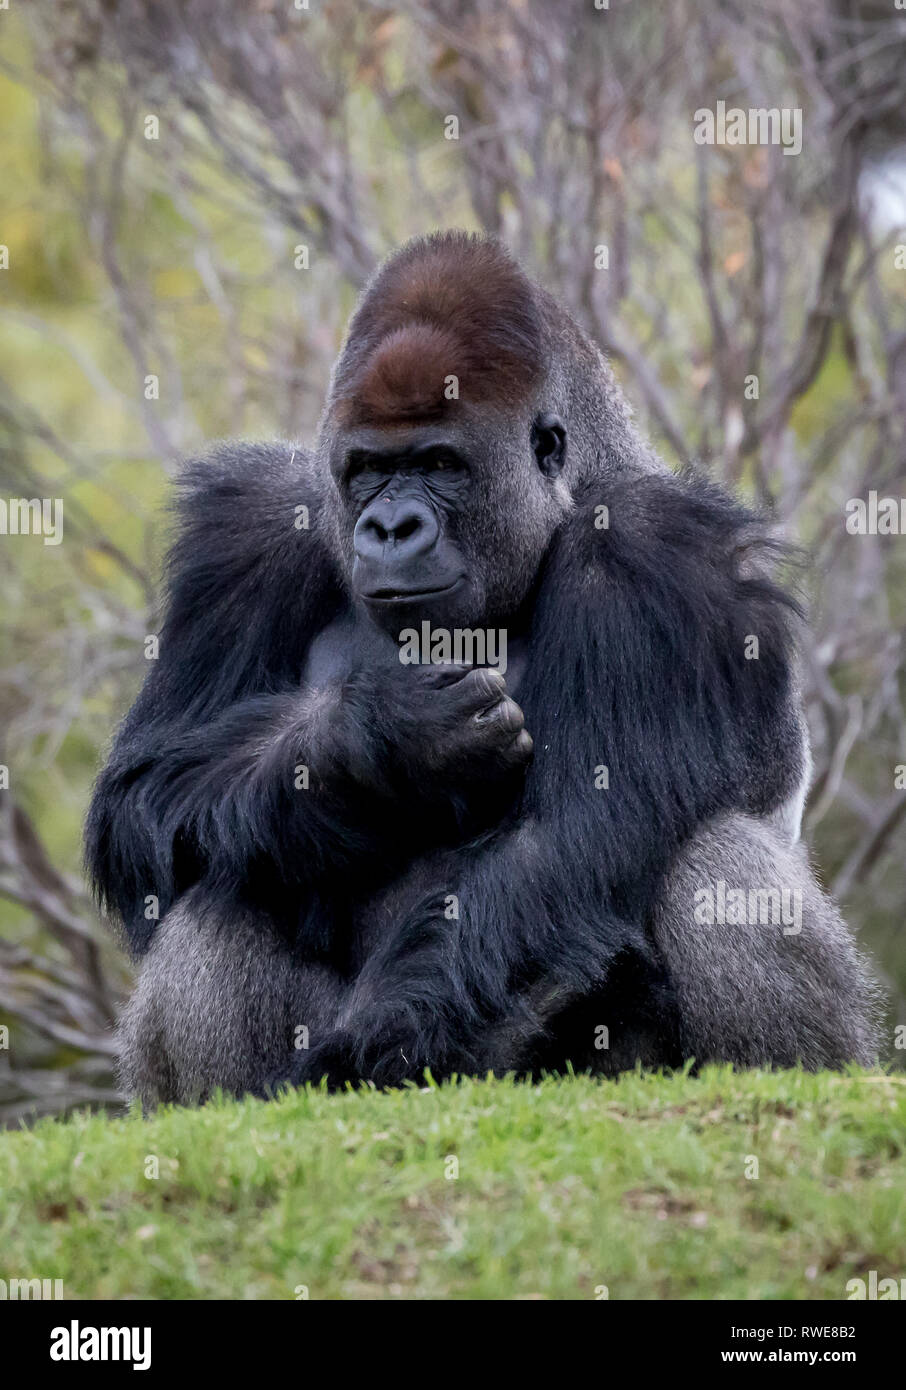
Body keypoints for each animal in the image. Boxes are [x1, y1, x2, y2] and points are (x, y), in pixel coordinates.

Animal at [83, 230, 878, 1106]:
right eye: (368, 469)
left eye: (440, 464)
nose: (390, 527)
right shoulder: (245, 529)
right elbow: (142, 796)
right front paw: (379, 739)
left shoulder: (656, 546)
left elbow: (562, 833)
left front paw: (355, 1059)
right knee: (223, 883)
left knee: (716, 858)